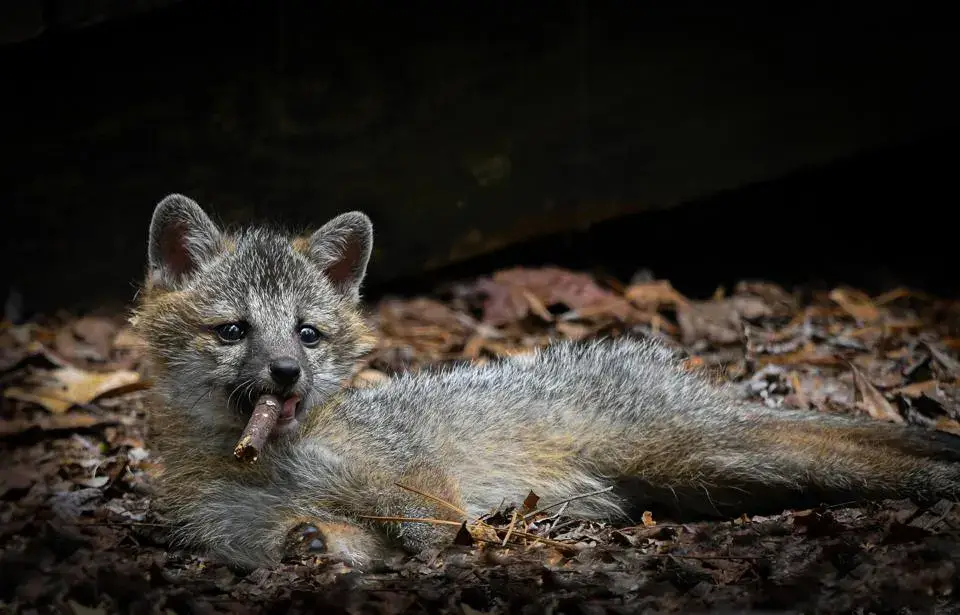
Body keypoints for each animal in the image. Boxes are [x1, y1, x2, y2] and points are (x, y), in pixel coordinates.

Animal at [131, 193, 960, 571]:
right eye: (234, 330)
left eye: (307, 332)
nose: (286, 371)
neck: (271, 462)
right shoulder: (258, 532)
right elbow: (320, 540)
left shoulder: (419, 487)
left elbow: (431, 527)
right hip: (702, 477)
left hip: (706, 453)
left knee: (851, 450)